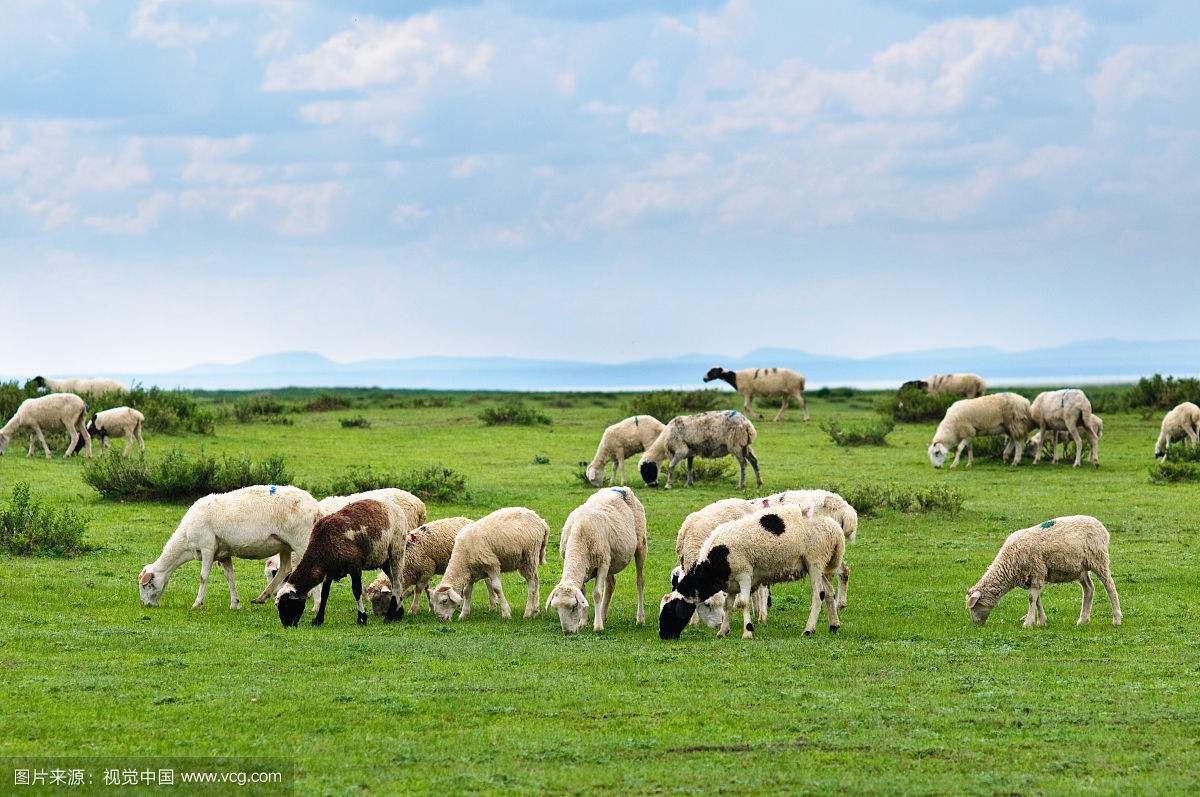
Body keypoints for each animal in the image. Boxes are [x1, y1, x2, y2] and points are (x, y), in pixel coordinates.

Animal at [137, 484, 319, 609]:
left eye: (146, 585)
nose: (147, 605)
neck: (185, 541)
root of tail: (316, 507)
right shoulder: (223, 554)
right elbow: (230, 577)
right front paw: (235, 603)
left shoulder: (207, 547)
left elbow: (203, 577)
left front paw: (197, 604)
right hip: (285, 545)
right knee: (285, 568)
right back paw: (263, 597)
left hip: (301, 540)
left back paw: (315, 607)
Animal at [274, 501, 405, 624]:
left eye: (287, 605)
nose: (287, 625)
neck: (322, 547)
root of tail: (394, 506)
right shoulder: (329, 571)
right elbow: (324, 594)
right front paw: (318, 619)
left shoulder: (355, 566)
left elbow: (356, 590)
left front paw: (362, 618)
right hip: (384, 560)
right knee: (394, 582)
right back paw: (398, 612)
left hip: (397, 550)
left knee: (397, 583)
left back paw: (389, 616)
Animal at [549, 484, 652, 633]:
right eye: (556, 608)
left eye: (573, 607)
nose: (568, 633)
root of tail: (623, 488)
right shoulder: (589, 565)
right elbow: (583, 593)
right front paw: (583, 622)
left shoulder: (602, 564)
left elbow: (597, 594)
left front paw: (597, 626)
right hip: (610, 558)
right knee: (611, 584)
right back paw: (603, 615)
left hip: (640, 545)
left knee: (640, 581)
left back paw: (640, 618)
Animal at [662, 506, 849, 643]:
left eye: (671, 611)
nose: (664, 636)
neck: (715, 561)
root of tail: (835, 529)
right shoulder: (731, 583)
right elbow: (728, 606)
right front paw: (723, 631)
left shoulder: (745, 574)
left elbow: (743, 603)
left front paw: (747, 632)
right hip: (821, 564)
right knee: (829, 592)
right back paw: (834, 625)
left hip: (814, 560)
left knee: (818, 594)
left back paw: (809, 629)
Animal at [964, 516, 1123, 628]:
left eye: (975, 606)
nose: (976, 624)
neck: (1008, 563)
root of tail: (1100, 525)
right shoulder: (1032, 577)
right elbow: (1037, 599)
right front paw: (1041, 621)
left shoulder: (1037, 570)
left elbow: (1031, 599)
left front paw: (1028, 623)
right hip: (1080, 568)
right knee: (1089, 589)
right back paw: (1082, 620)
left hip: (1099, 559)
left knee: (1110, 586)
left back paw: (1117, 619)